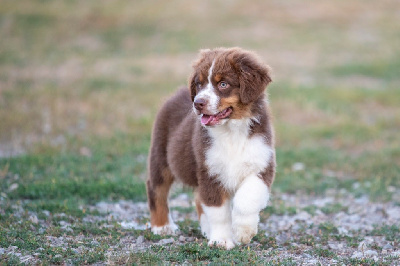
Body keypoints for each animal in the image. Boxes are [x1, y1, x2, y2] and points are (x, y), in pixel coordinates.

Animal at [146, 46, 276, 248]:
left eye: (223, 84)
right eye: (199, 84)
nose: (198, 103)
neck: (231, 132)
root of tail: (178, 93)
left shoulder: (261, 164)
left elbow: (248, 198)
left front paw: (243, 231)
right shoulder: (210, 170)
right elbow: (218, 210)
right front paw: (221, 240)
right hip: (161, 155)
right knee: (156, 188)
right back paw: (162, 226)